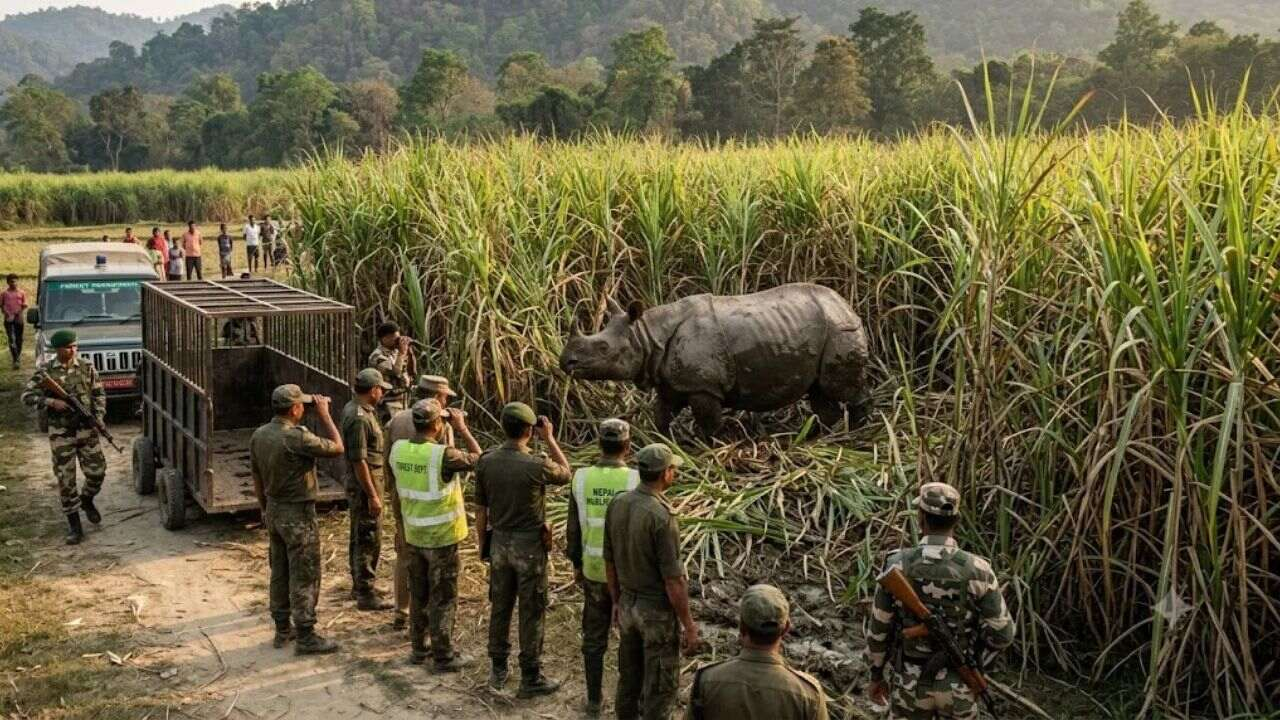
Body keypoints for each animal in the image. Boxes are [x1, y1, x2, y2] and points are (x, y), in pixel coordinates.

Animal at [559, 283, 870, 437]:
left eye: (603, 347)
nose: (565, 362)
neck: (647, 335)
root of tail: (846, 304)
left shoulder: (703, 386)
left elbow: (708, 421)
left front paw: (703, 446)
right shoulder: (670, 380)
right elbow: (662, 413)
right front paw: (661, 440)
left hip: (839, 330)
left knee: (839, 388)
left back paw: (858, 432)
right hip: (824, 329)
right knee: (820, 391)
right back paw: (813, 437)